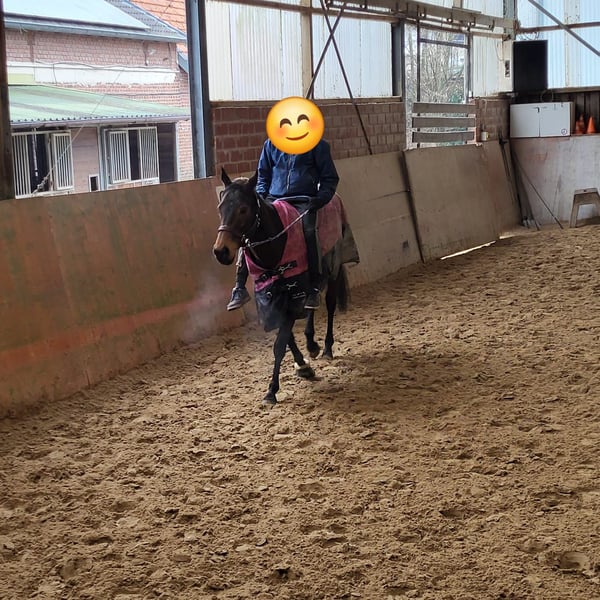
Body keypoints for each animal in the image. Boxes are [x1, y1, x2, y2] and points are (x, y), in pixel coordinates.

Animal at [212, 168, 359, 406]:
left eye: (243, 209)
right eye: (220, 208)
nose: (221, 251)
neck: (275, 244)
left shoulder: (291, 297)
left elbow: (280, 345)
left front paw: (272, 391)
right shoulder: (272, 298)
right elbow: (287, 338)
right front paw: (303, 365)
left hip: (334, 269)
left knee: (329, 305)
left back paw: (327, 348)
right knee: (311, 305)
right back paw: (312, 343)